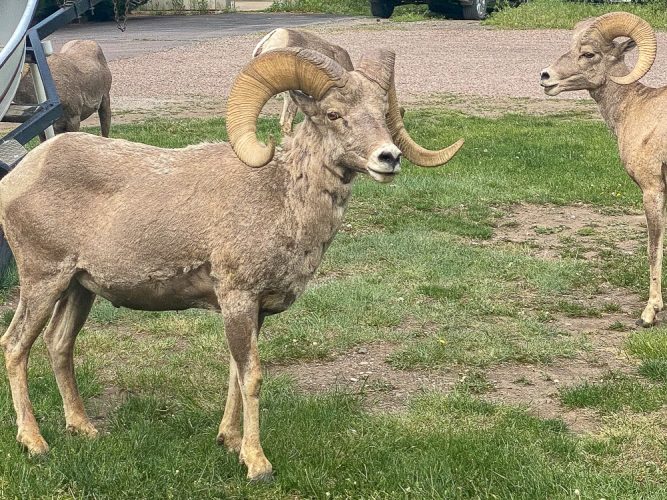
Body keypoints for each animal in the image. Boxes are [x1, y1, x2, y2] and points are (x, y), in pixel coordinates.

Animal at [0, 47, 464, 480]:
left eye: (385, 114)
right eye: (334, 114)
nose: (389, 158)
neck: (281, 198)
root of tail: (18, 177)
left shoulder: (252, 310)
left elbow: (234, 374)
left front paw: (229, 440)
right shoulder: (239, 297)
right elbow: (252, 376)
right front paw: (257, 464)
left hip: (78, 289)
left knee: (59, 344)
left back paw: (84, 428)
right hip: (43, 281)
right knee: (16, 346)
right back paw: (34, 443)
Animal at [540, 12, 664, 328]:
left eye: (588, 54)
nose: (545, 77)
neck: (635, 108)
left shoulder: (652, 190)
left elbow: (653, 248)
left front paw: (649, 314)